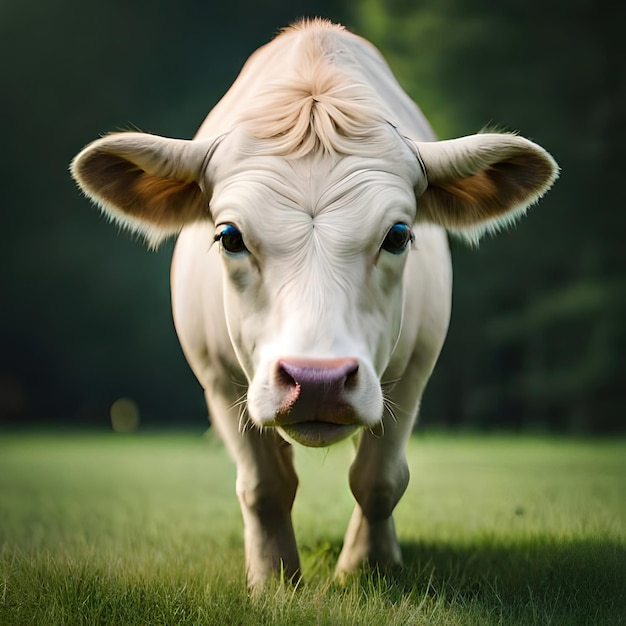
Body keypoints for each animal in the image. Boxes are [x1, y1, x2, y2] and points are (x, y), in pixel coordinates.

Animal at [70, 18, 560, 584]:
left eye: (398, 235)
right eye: (230, 237)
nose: (317, 380)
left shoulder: (415, 366)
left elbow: (379, 479)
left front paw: (368, 566)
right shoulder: (216, 375)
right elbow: (264, 487)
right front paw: (273, 579)